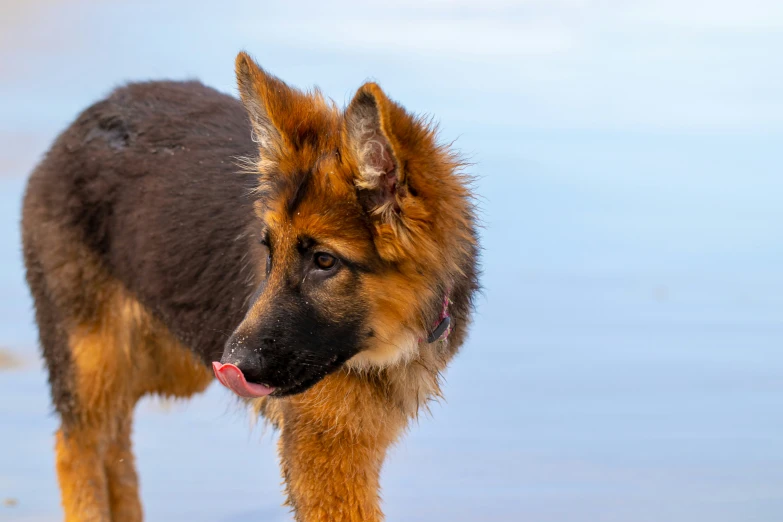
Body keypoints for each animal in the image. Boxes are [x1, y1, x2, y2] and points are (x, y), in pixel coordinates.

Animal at [23, 50, 478, 516]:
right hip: (100, 359)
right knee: (77, 443)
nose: (232, 366)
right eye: (269, 252)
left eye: (324, 261)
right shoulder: (322, 455)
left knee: (114, 438)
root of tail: (90, 117)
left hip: (170, 364)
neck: (387, 340)